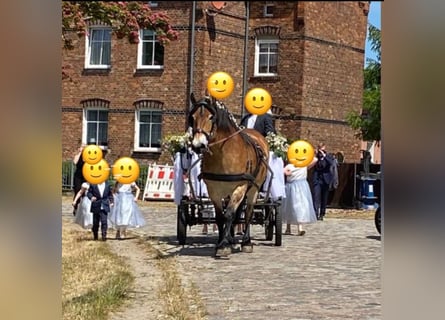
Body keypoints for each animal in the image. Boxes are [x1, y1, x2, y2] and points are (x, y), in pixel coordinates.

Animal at [186, 93, 268, 258]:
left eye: (211, 117)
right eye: (192, 117)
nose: (198, 145)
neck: (223, 153)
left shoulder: (240, 186)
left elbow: (229, 214)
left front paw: (224, 245)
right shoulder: (214, 190)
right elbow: (220, 216)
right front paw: (222, 242)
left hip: (253, 189)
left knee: (248, 212)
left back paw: (246, 242)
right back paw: (231, 238)